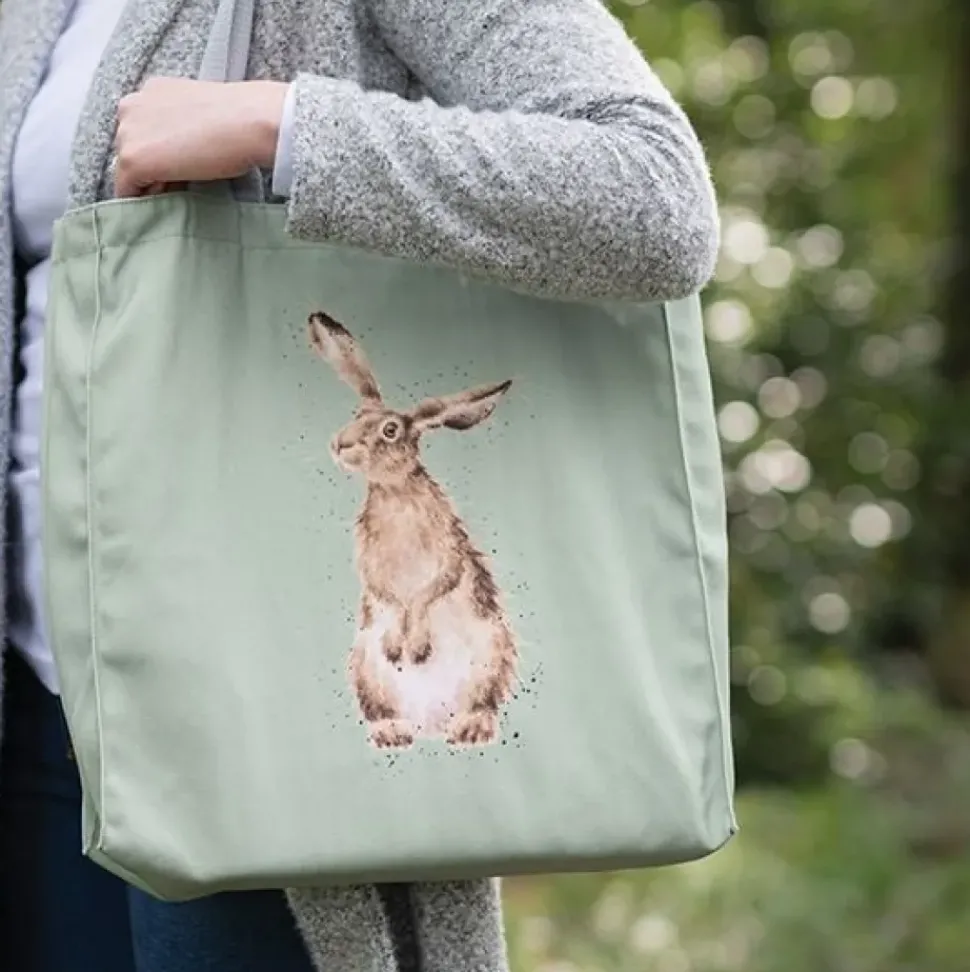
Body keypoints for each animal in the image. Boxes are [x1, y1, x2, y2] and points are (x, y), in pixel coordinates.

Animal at [307, 312, 519, 750]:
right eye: (356, 414)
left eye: (390, 431)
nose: (340, 444)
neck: (394, 493)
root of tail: (430, 727)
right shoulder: (370, 562)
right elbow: (385, 594)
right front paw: (398, 642)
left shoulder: (448, 551)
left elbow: (431, 590)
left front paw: (416, 644)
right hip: (366, 670)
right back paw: (392, 733)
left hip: (492, 656)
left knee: (482, 702)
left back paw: (470, 730)